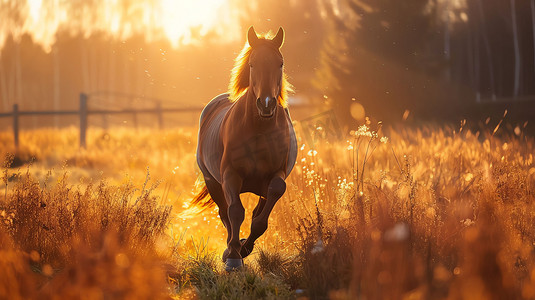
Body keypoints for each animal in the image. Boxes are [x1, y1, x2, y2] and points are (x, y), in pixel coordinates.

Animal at [193, 26, 298, 272]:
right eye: (252, 64)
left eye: (280, 63)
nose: (266, 104)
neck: (259, 129)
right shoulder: (230, 175)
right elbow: (235, 212)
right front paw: (233, 257)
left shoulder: (275, 176)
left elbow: (261, 217)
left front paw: (244, 249)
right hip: (212, 181)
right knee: (224, 212)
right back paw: (230, 250)